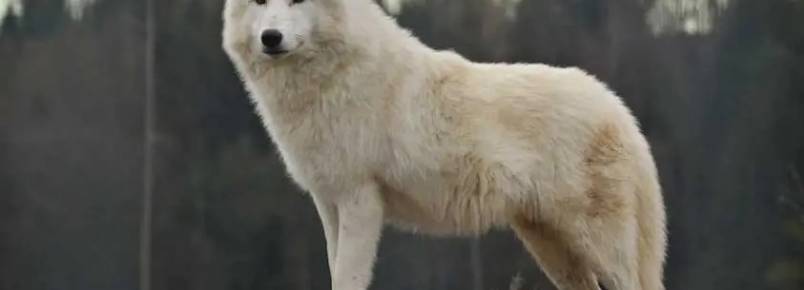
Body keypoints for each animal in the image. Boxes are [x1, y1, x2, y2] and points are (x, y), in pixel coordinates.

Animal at [225, 0, 664, 290]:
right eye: (261, 2)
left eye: (297, 0)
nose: (271, 38)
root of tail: (618, 108)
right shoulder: (328, 201)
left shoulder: (360, 200)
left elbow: (348, 278)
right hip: (554, 250)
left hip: (598, 250)